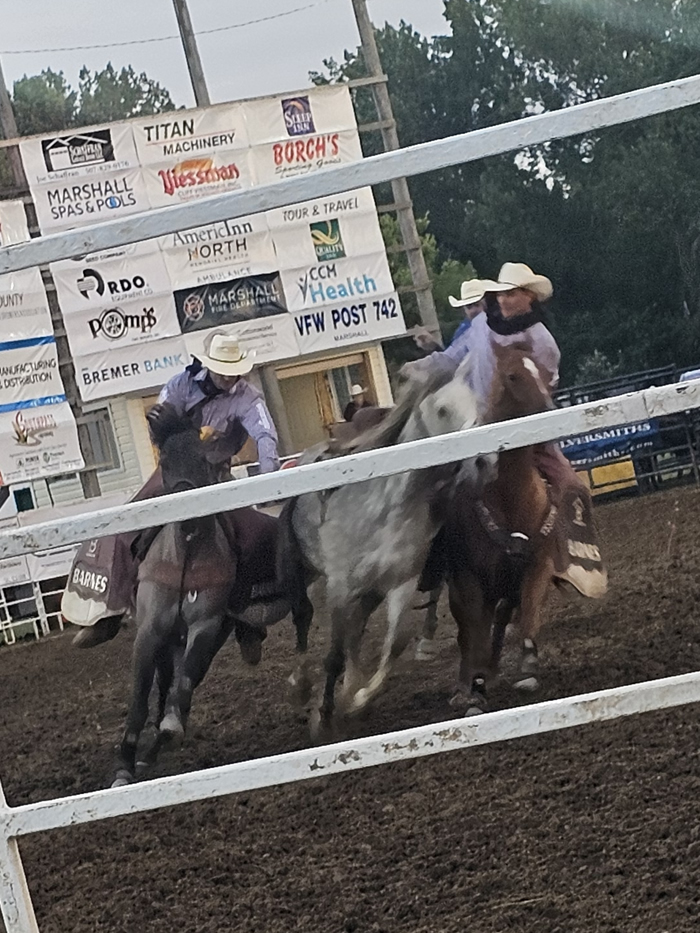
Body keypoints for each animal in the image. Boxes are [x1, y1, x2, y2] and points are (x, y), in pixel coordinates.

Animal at [276, 360, 494, 732]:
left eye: (475, 403)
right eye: (442, 409)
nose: (484, 460)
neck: (389, 506)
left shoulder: (399, 584)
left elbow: (395, 643)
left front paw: (358, 699)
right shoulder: (340, 586)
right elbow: (333, 655)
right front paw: (324, 716)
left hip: (369, 592)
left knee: (356, 631)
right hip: (302, 571)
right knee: (304, 619)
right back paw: (299, 687)